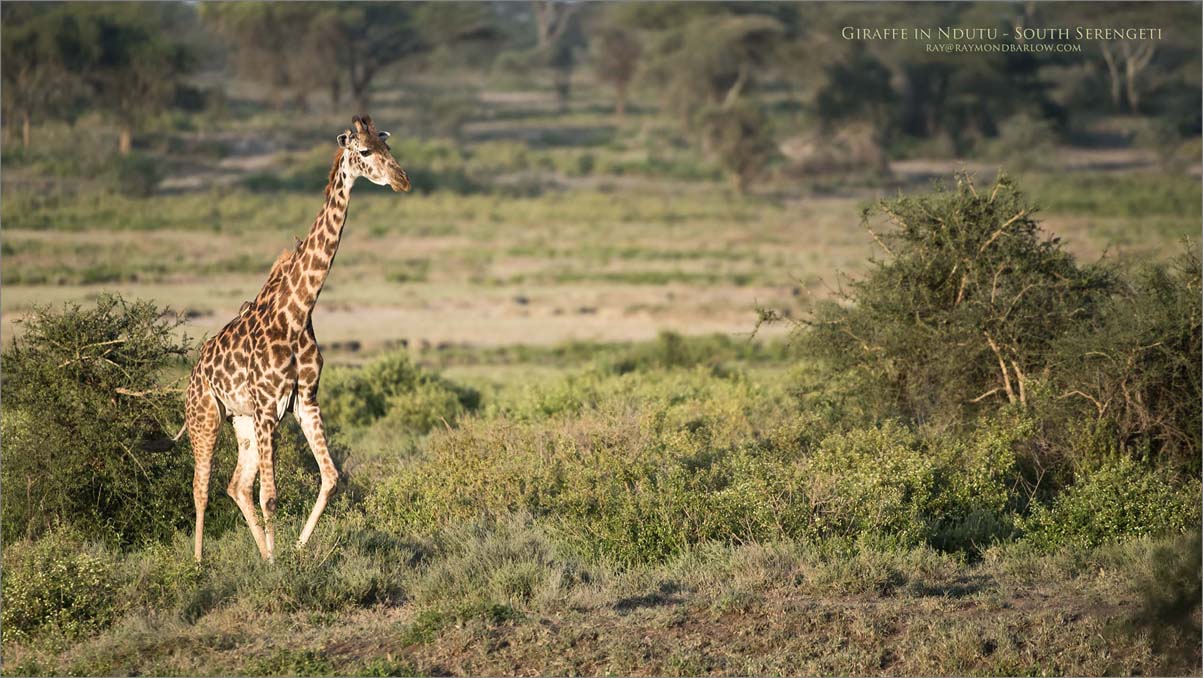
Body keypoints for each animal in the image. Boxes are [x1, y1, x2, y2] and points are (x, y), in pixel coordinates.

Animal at [185, 115, 411, 562]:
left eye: (388, 147)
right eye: (364, 151)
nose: (402, 180)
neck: (297, 312)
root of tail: (194, 371)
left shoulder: (303, 400)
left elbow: (331, 477)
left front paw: (295, 550)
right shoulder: (269, 407)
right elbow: (271, 495)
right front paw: (277, 564)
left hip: (241, 420)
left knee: (236, 485)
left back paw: (258, 553)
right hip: (206, 416)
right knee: (202, 488)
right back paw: (197, 564)